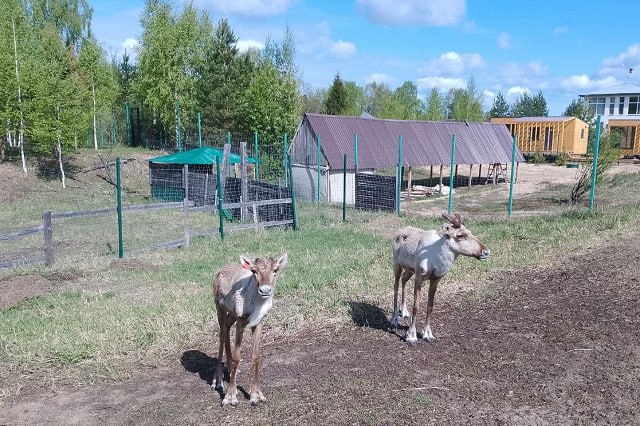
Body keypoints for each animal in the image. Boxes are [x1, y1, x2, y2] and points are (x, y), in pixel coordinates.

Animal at [212, 253, 288, 406]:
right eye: (254, 271)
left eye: (275, 270)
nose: (265, 290)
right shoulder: (241, 320)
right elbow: (237, 358)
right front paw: (230, 397)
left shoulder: (258, 322)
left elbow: (256, 357)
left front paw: (256, 395)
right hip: (219, 306)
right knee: (222, 332)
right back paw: (218, 380)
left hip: (232, 314)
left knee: (227, 326)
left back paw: (229, 369)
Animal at [390, 212, 490, 342]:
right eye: (460, 235)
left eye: (470, 232)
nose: (486, 252)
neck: (435, 258)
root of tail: (399, 231)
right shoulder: (419, 276)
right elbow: (416, 306)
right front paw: (411, 335)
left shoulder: (436, 279)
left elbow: (430, 307)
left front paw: (427, 334)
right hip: (397, 264)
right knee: (395, 285)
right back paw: (394, 320)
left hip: (410, 269)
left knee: (404, 279)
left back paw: (404, 312)